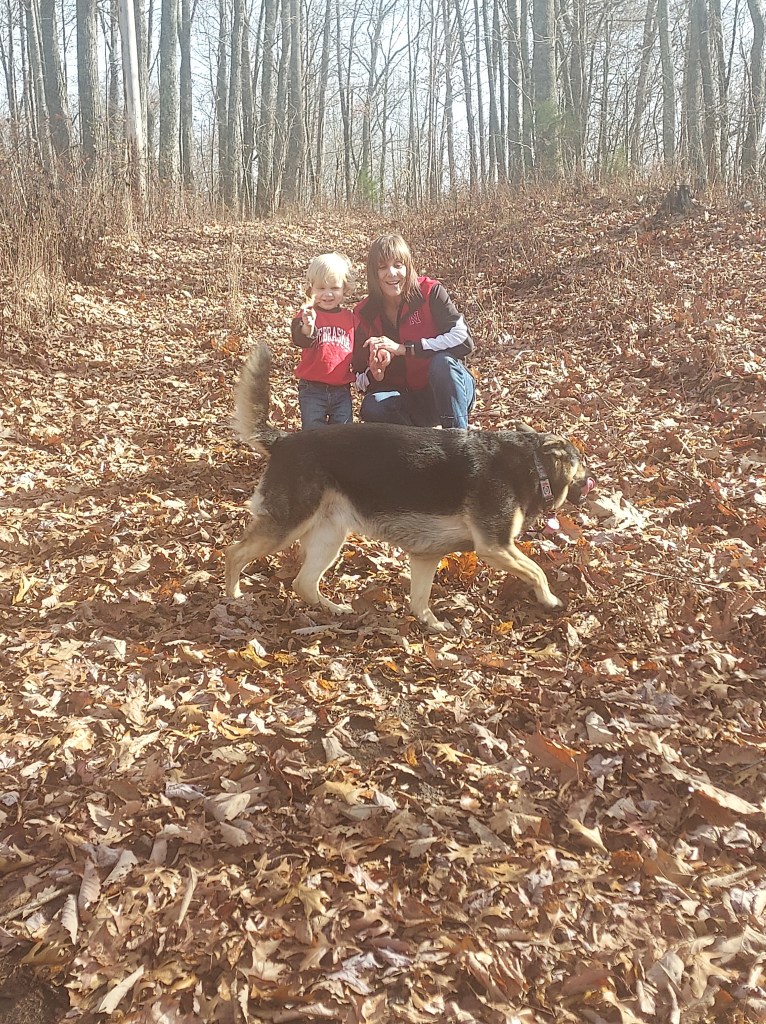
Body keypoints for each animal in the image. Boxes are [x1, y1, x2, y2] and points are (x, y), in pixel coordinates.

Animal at [225, 343, 595, 632]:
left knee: (303, 583)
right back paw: (234, 597)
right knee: (234, 553)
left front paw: (432, 624)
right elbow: (537, 571)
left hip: (329, 537)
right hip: (286, 527)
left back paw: (334, 610)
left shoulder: (426, 556)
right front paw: (550, 599)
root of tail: (283, 441)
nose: (593, 480)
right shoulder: (496, 547)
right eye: (582, 463)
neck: (534, 464)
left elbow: (419, 600)